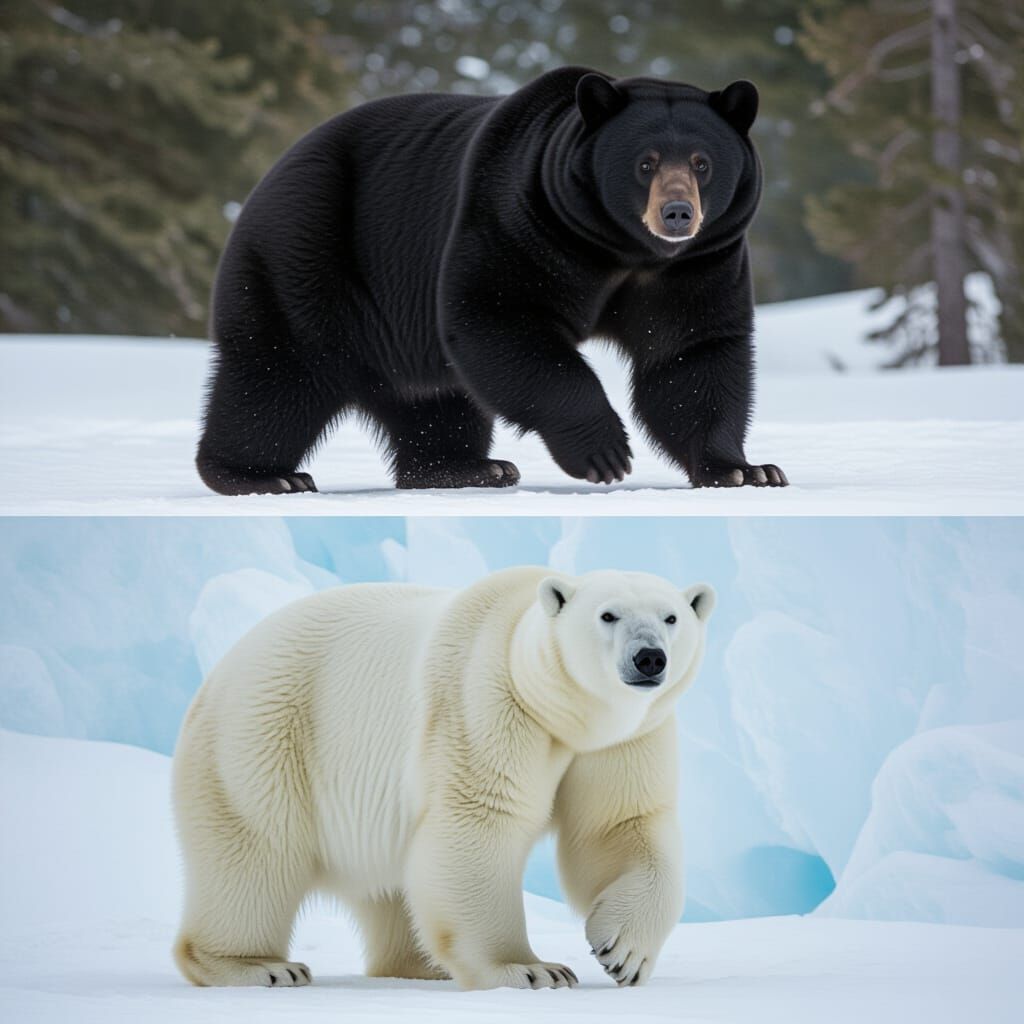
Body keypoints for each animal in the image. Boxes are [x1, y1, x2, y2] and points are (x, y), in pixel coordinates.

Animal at [172, 566, 715, 990]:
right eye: (608, 615)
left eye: (671, 617)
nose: (649, 658)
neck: (561, 710)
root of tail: (218, 671)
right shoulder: (485, 701)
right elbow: (480, 821)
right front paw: (529, 969)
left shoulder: (625, 735)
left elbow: (617, 825)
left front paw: (624, 952)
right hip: (267, 736)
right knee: (255, 853)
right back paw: (259, 966)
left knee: (393, 883)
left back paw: (422, 965)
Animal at [196, 65, 787, 495]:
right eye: (646, 163)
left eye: (702, 162)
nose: (677, 213)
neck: (621, 251)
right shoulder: (519, 219)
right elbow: (497, 314)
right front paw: (605, 452)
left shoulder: (697, 265)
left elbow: (692, 355)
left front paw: (744, 469)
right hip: (308, 255)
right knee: (276, 377)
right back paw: (261, 474)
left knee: (435, 402)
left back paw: (464, 467)